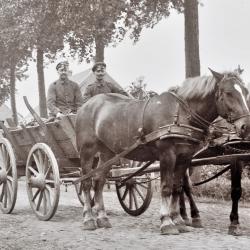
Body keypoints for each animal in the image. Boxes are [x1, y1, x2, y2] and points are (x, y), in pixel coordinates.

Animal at [75, 70, 250, 234]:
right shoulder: (167, 155)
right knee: (86, 183)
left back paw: (102, 218)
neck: (180, 113)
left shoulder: (184, 157)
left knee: (98, 181)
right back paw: (88, 218)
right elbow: (166, 187)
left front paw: (178, 220)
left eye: (245, 91)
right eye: (228, 93)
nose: (246, 126)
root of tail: (86, 105)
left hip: (108, 153)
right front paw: (167, 222)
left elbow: (177, 188)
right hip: (87, 151)